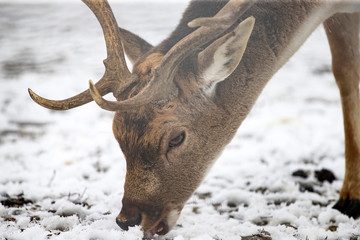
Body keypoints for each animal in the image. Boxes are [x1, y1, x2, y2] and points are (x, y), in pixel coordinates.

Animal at [28, 0, 360, 236]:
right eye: (116, 133)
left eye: (176, 137)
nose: (128, 220)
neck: (323, 4)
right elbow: (345, 75)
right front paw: (350, 198)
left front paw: (350, 201)